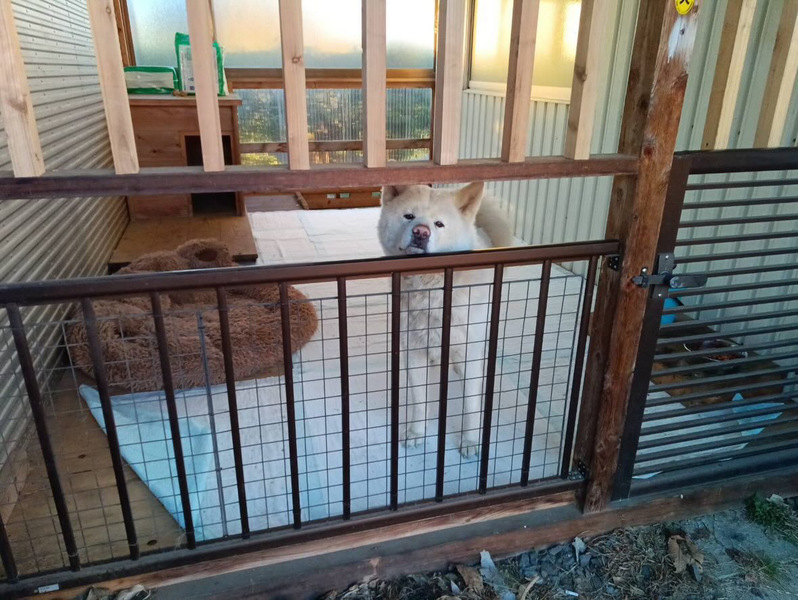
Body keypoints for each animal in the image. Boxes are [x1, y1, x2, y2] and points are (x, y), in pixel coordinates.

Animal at [377, 182, 514, 457]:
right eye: (409, 216)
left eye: (439, 224)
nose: (421, 232)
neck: (432, 288)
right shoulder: (413, 352)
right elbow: (419, 400)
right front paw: (417, 433)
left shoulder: (468, 352)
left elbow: (471, 405)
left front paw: (470, 441)